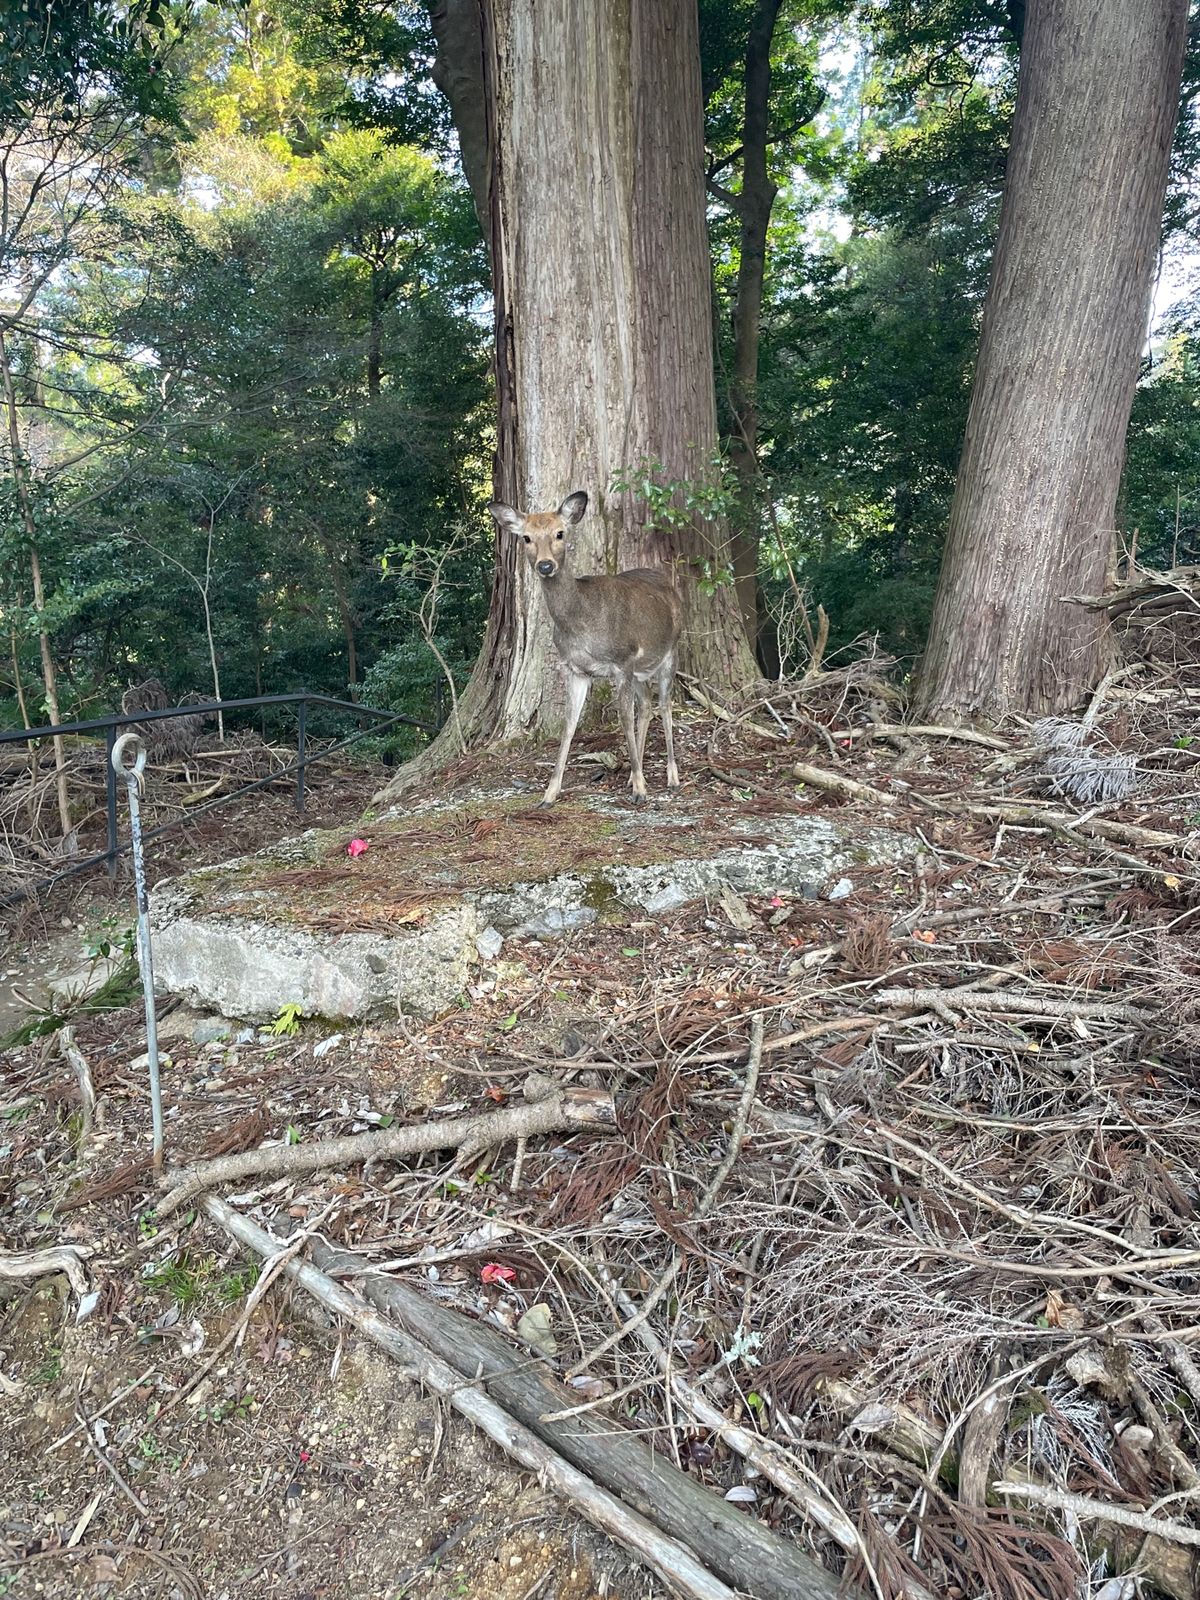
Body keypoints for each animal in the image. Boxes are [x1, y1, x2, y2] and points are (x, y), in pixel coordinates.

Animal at [489, 490, 682, 807]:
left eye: (560, 533)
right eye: (526, 537)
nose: (545, 566)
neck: (582, 622)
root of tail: (670, 586)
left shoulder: (622, 661)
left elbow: (624, 721)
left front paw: (640, 791)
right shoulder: (576, 669)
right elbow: (569, 726)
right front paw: (549, 794)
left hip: (670, 652)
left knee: (665, 705)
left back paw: (672, 777)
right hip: (641, 670)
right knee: (646, 705)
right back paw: (633, 775)